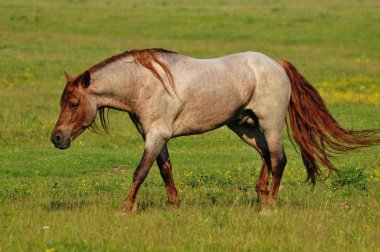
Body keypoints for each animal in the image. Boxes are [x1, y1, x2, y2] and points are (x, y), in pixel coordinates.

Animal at [51, 47, 380, 213]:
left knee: (278, 159)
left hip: (270, 123)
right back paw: (261, 196)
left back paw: (270, 206)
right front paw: (174, 207)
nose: (56, 138)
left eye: (73, 103)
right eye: (63, 101)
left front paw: (125, 209)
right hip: (245, 127)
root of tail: (277, 64)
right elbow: (165, 169)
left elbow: (140, 172)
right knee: (266, 155)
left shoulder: (156, 135)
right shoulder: (155, 136)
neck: (144, 83)